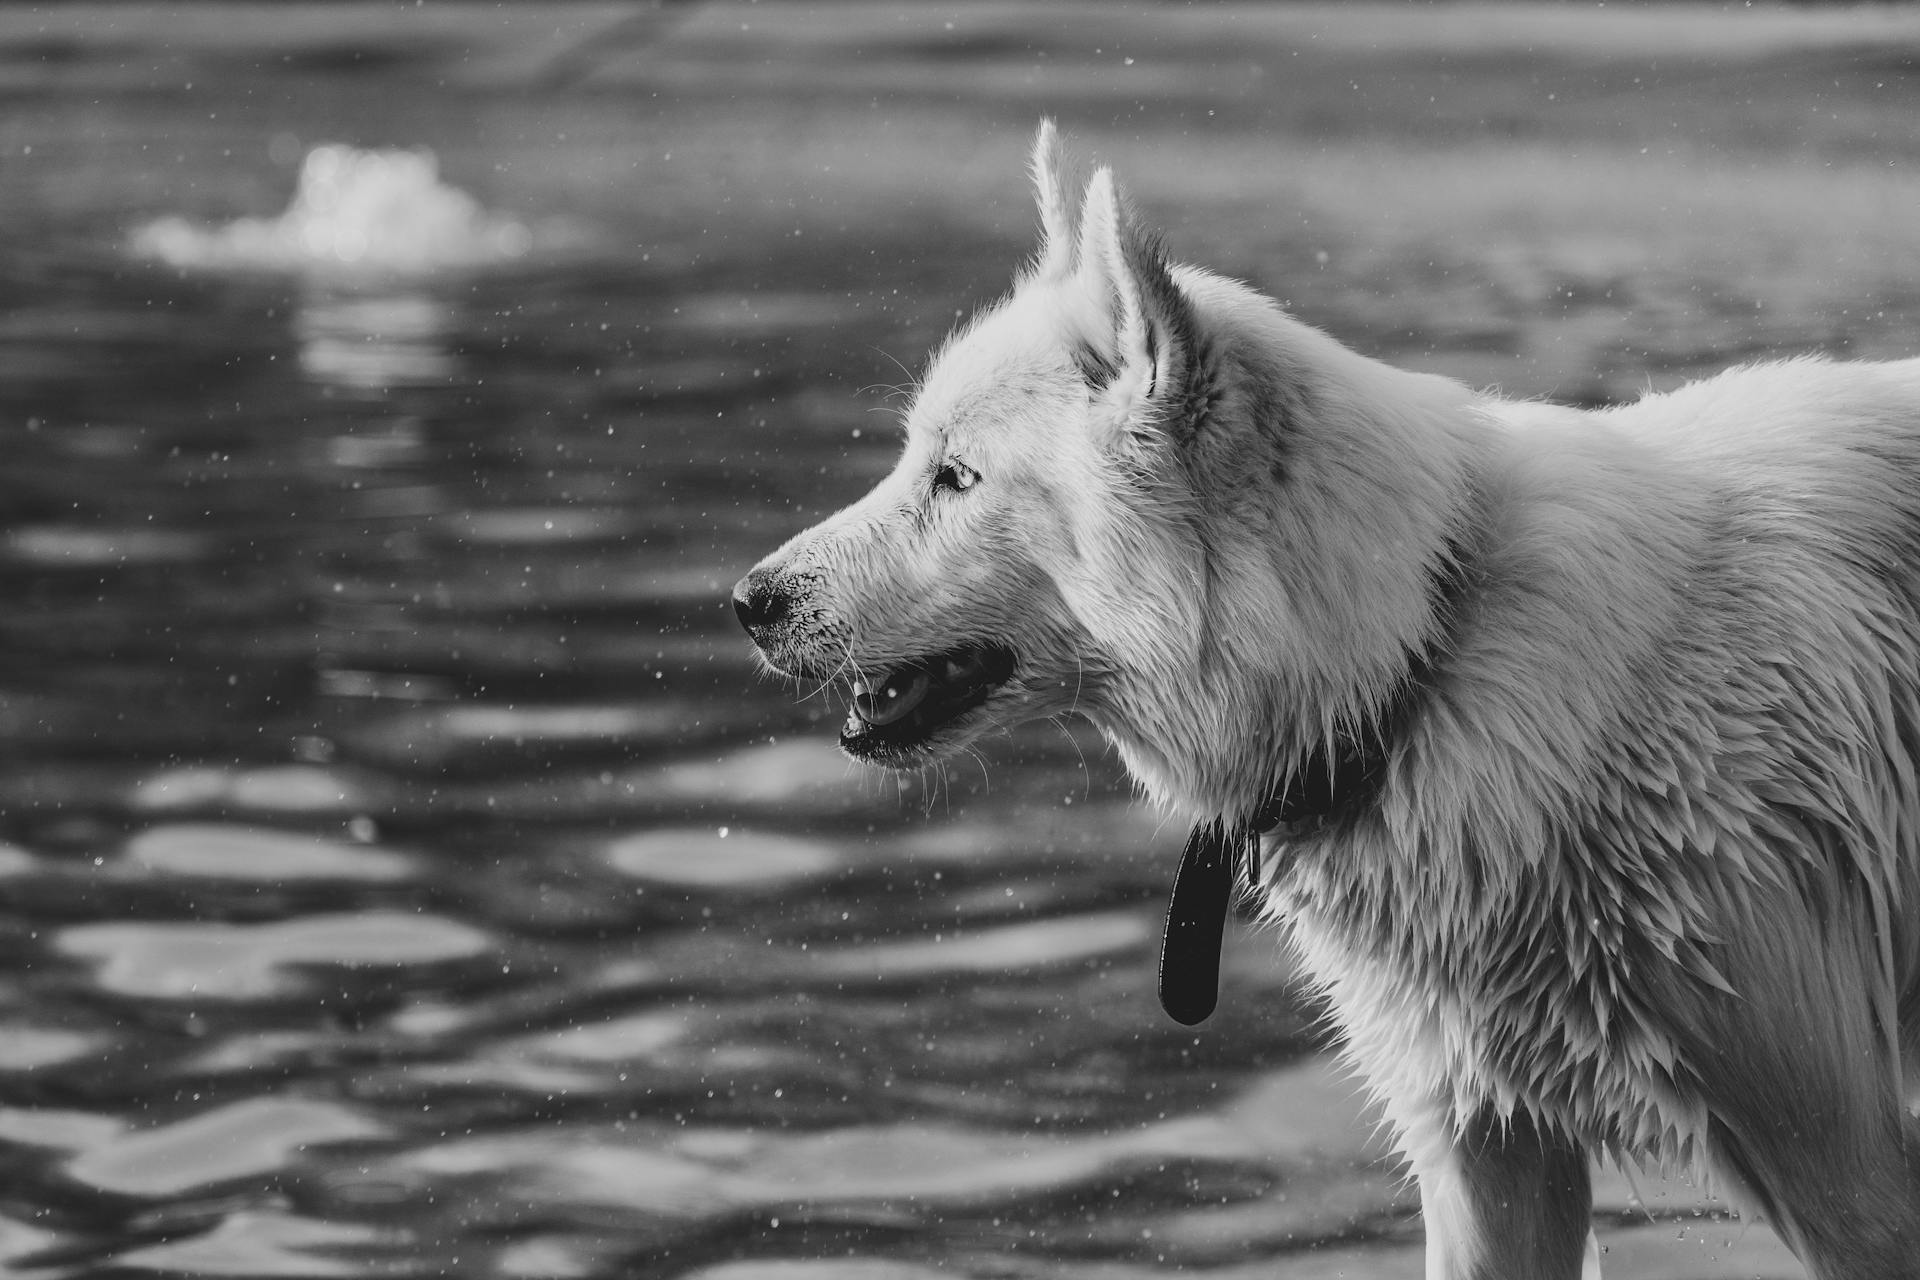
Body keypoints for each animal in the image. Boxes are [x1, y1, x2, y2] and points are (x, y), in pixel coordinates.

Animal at [729, 122, 1920, 1280]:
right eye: (912, 457)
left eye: (957, 477)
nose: (746, 602)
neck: (1422, 658)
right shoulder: (1485, 1151)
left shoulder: (1842, 1160)